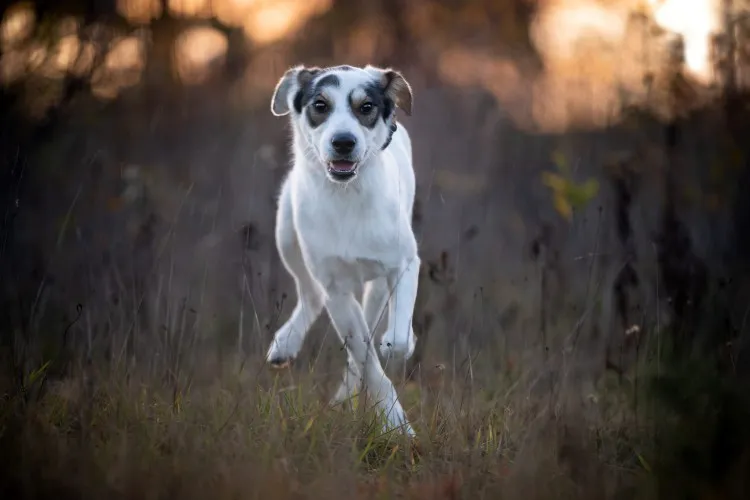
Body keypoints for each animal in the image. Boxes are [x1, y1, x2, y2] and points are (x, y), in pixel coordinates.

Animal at [268, 64, 424, 436]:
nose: (343, 141)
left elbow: (395, 339)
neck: (347, 195)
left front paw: (400, 342)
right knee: (310, 294)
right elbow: (366, 360)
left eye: (366, 107)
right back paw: (286, 343)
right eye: (320, 105)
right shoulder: (336, 290)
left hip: (378, 280)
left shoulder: (404, 262)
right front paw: (395, 422)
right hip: (287, 233)